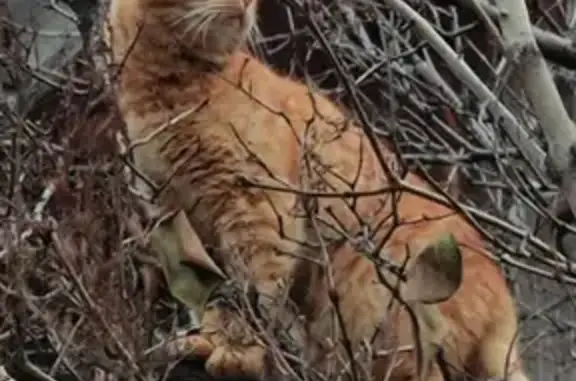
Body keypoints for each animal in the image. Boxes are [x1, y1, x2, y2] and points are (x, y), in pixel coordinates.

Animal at [103, 0, 532, 380]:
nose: (245, 3)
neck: (164, 88)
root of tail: (505, 307)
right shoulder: (177, 219)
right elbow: (210, 293)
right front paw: (205, 340)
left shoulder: (254, 211)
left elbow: (249, 293)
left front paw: (236, 352)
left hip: (385, 313)